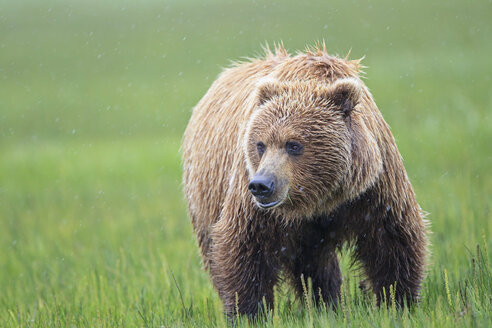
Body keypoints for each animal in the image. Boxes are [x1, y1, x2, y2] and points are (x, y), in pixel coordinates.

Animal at [181, 43, 426, 318]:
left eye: (293, 145)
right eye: (260, 144)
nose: (262, 185)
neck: (318, 198)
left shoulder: (373, 186)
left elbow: (391, 239)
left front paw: (398, 302)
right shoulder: (253, 201)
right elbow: (245, 246)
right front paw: (250, 311)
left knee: (315, 262)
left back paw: (326, 303)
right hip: (206, 198)